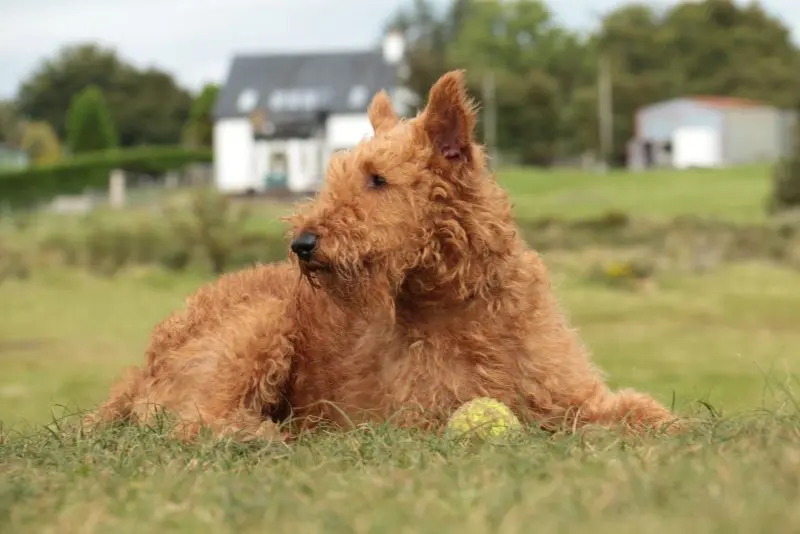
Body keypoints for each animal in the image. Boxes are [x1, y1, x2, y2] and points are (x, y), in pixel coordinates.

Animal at [84, 69, 680, 442]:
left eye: (377, 179)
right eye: (340, 175)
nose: (303, 244)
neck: (464, 299)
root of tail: (143, 363)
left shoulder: (571, 393)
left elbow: (640, 411)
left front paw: (677, 432)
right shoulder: (421, 415)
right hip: (259, 326)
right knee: (192, 422)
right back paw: (265, 436)